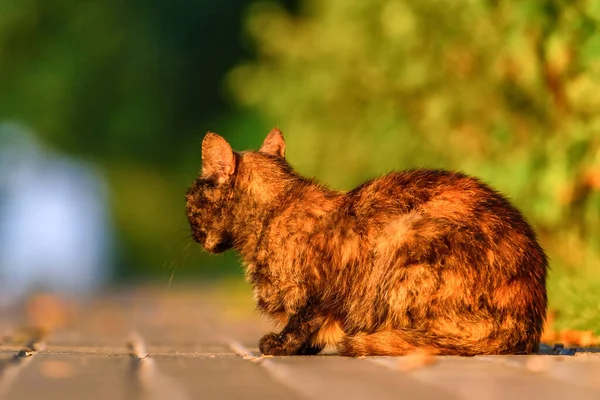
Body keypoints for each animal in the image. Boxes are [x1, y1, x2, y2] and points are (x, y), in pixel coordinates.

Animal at [185, 128, 548, 356]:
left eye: (189, 202)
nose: (193, 233)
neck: (273, 212)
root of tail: (527, 321)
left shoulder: (321, 286)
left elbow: (303, 318)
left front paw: (283, 344)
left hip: (405, 235)